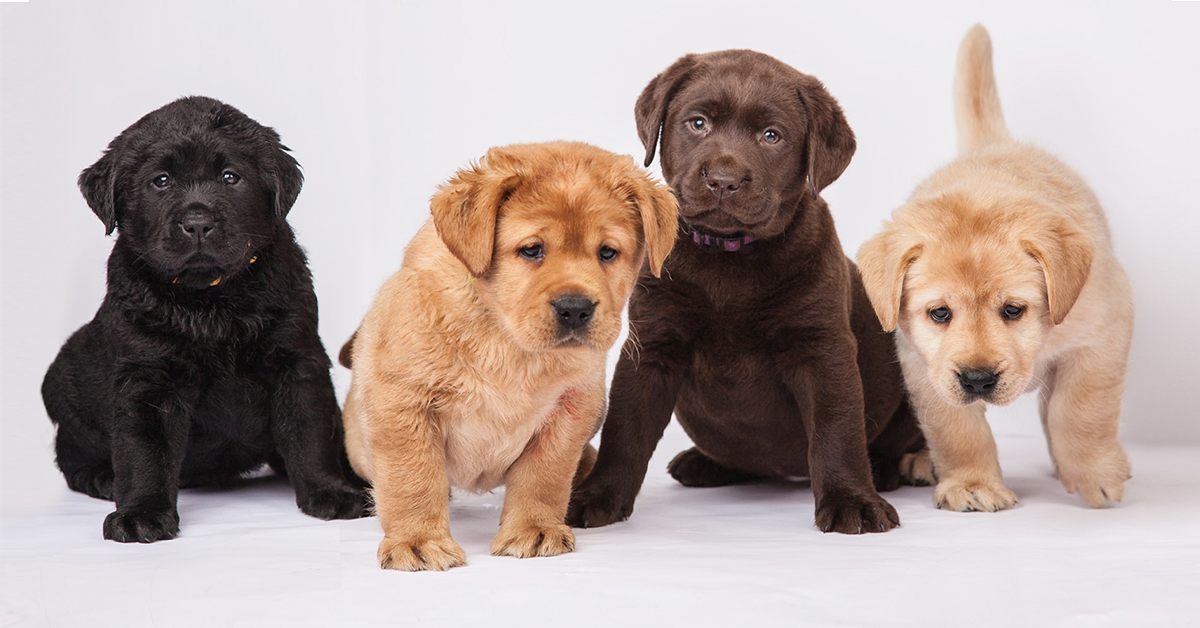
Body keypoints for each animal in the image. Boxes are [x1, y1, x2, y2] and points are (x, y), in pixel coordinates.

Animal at [43, 96, 364, 542]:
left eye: (231, 177)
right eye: (161, 181)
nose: (197, 223)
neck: (211, 301)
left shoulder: (297, 360)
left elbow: (311, 431)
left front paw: (330, 491)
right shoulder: (148, 377)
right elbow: (144, 451)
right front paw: (141, 513)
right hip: (64, 387)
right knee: (71, 457)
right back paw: (103, 478)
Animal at [340, 141, 676, 569]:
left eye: (607, 252)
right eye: (531, 250)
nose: (575, 309)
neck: (508, 342)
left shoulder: (571, 407)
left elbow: (544, 476)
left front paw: (534, 529)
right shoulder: (403, 401)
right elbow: (412, 478)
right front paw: (418, 540)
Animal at [859, 27, 1128, 513]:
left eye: (1013, 310)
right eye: (939, 313)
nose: (978, 379)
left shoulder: (1104, 330)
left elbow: (1081, 408)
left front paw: (1095, 471)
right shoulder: (924, 365)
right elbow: (957, 429)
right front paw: (972, 484)